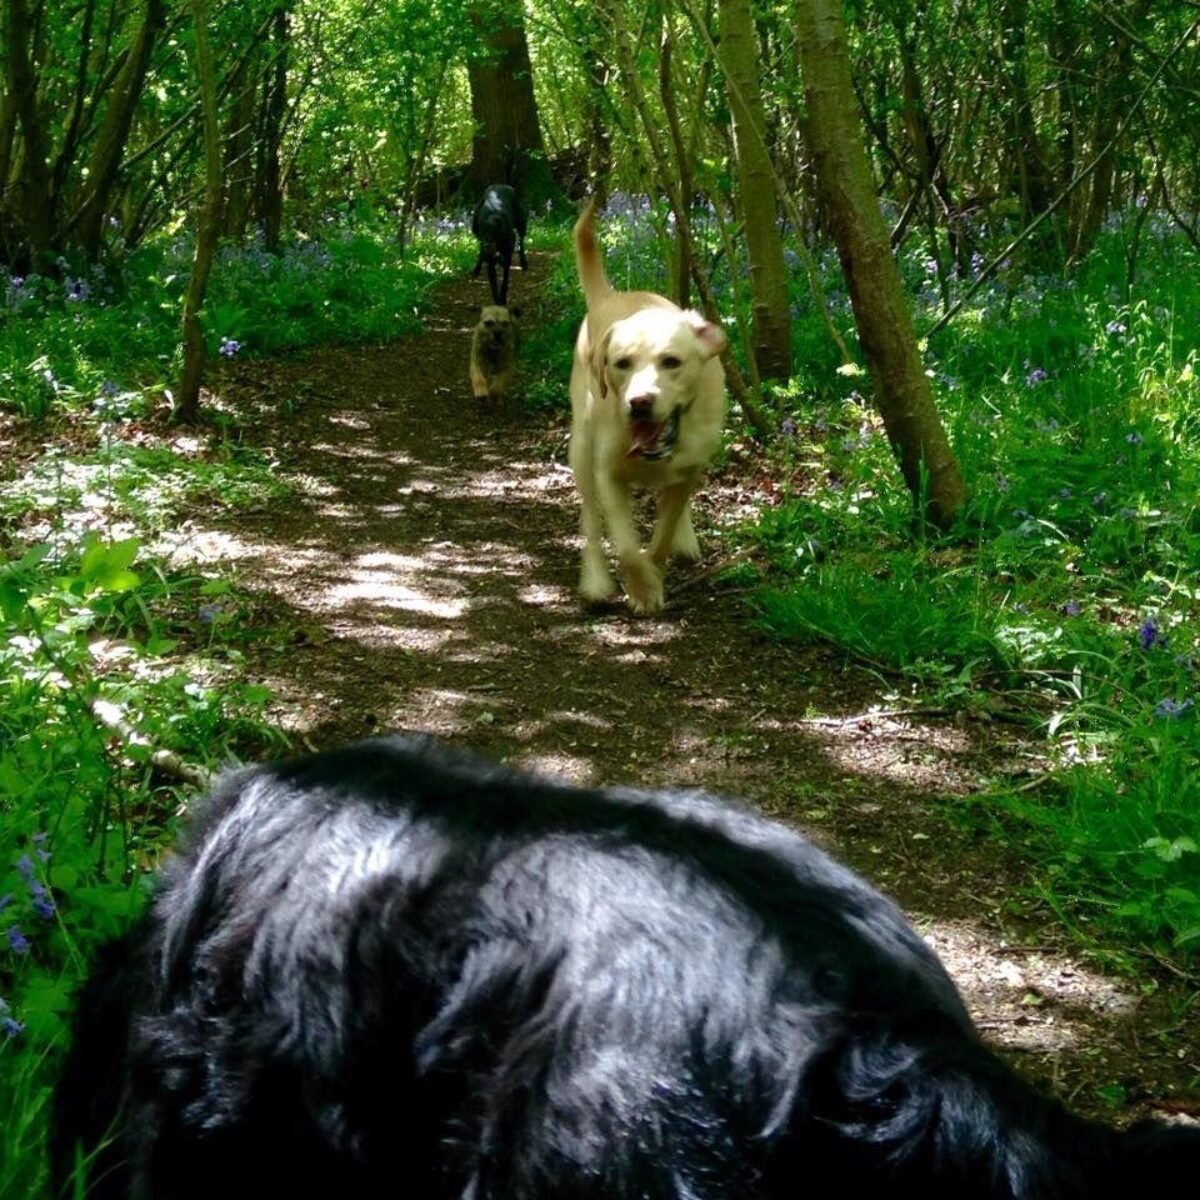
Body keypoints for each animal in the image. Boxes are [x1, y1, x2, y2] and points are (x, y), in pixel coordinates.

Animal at [566, 198, 724, 614]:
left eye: (671, 362)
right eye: (621, 363)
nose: (639, 402)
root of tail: (610, 297)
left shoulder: (688, 470)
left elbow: (662, 534)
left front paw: (658, 568)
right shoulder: (608, 475)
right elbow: (625, 546)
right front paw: (642, 588)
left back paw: (686, 538)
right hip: (581, 448)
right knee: (590, 521)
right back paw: (595, 579)